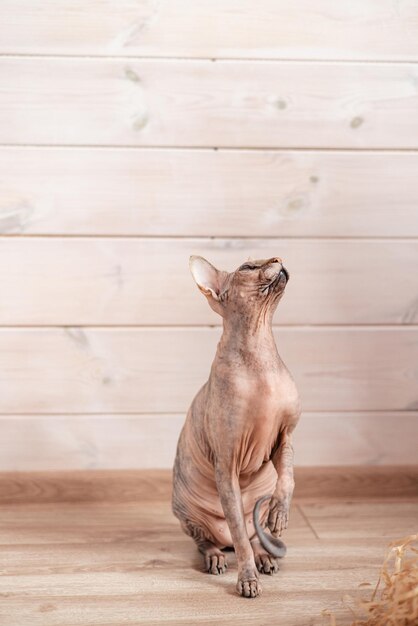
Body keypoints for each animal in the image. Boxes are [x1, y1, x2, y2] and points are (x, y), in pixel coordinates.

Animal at [171, 254, 300, 596]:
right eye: (247, 267)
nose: (278, 257)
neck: (260, 358)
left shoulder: (284, 438)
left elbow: (288, 478)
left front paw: (280, 512)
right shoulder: (226, 463)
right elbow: (240, 537)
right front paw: (247, 579)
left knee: (253, 536)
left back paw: (265, 555)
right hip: (188, 514)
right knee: (217, 540)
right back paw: (217, 557)